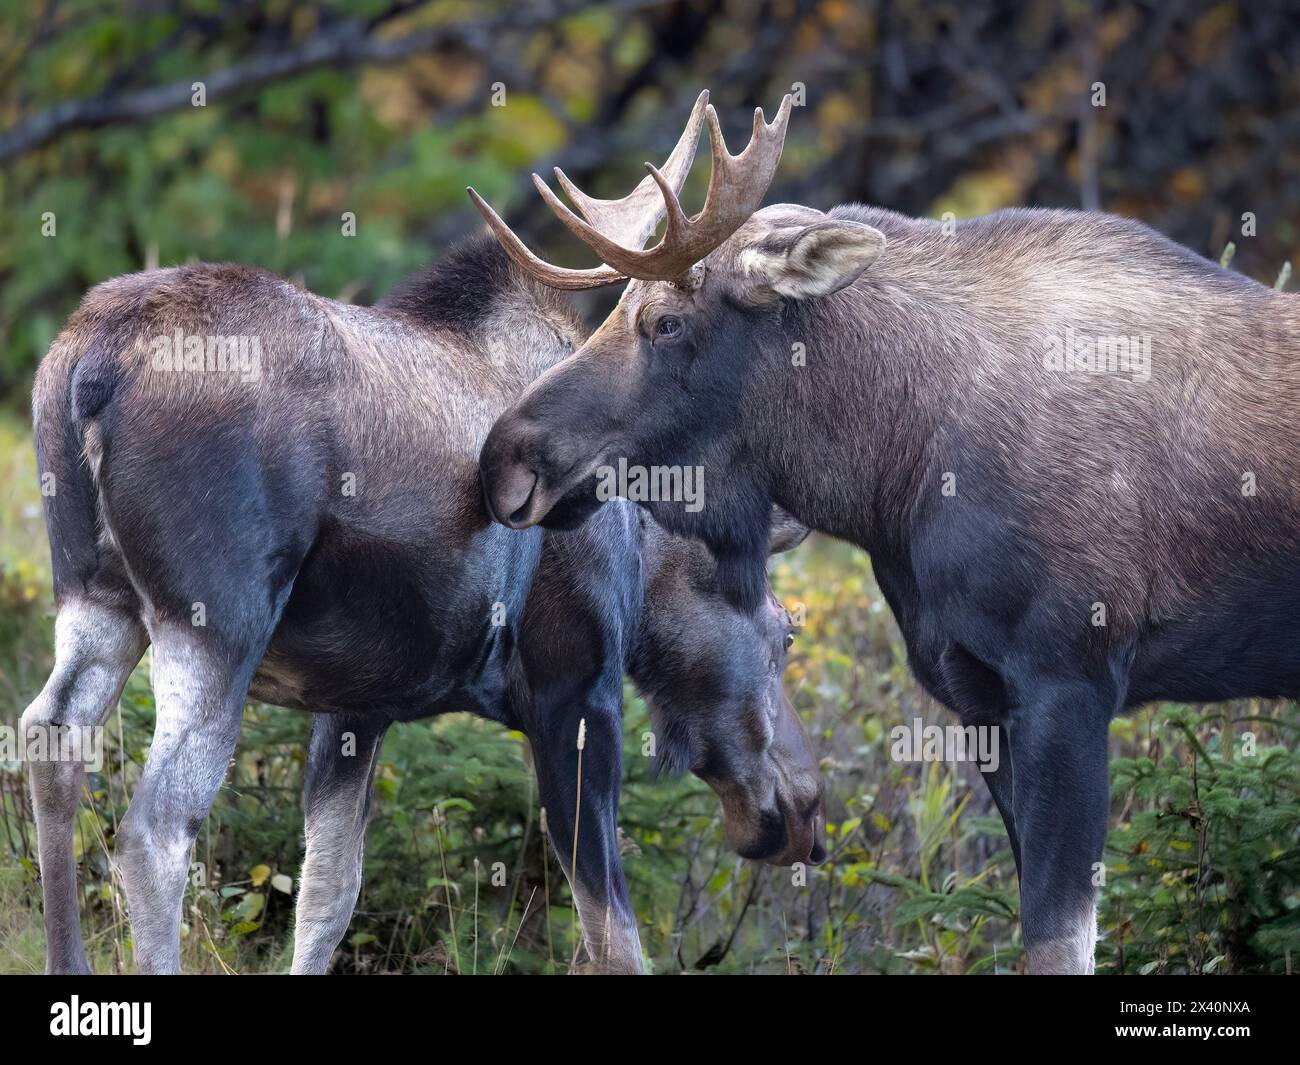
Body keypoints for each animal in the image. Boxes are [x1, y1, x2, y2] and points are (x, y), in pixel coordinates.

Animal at [22, 157, 821, 972]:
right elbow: (614, 937)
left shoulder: (357, 703)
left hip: (94, 593)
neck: (641, 548)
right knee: (155, 827)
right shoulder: (576, 687)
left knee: (51, 738)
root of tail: (93, 363)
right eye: (785, 635)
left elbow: (328, 893)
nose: (807, 811)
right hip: (216, 620)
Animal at [475, 91, 1300, 972]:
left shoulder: (1069, 678)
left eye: (665, 322)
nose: (505, 456)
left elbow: (1060, 937)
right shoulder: (980, 695)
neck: (893, 473)